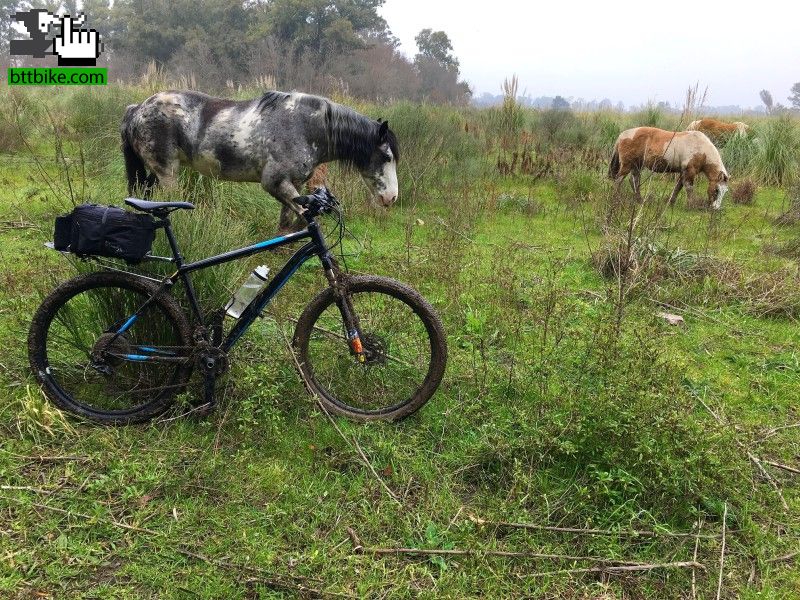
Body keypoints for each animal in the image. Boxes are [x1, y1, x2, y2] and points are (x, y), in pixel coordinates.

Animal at [120, 91, 400, 232]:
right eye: (387, 157)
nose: (391, 198)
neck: (306, 127)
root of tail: (137, 109)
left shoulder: (294, 185)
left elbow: (289, 222)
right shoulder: (274, 182)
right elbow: (302, 217)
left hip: (156, 172)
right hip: (168, 172)